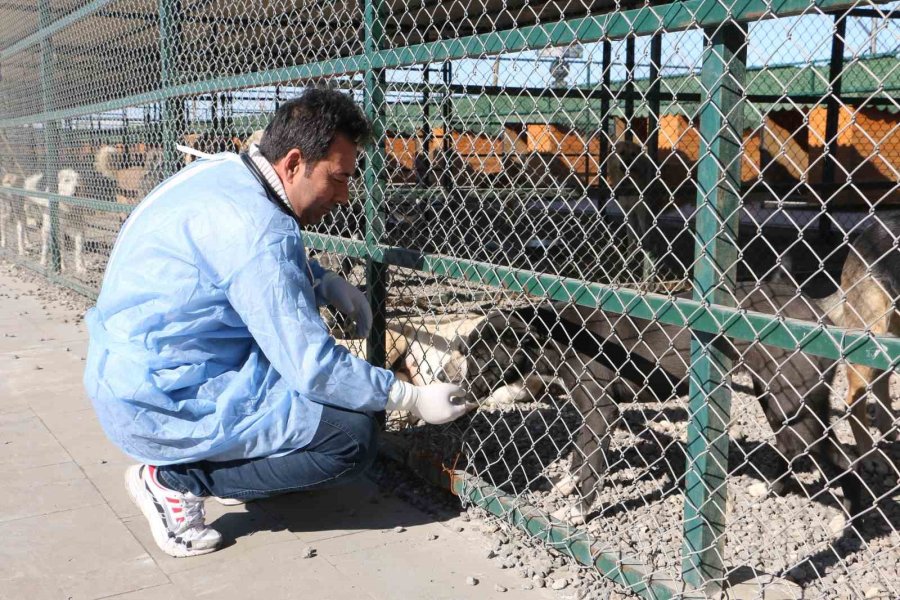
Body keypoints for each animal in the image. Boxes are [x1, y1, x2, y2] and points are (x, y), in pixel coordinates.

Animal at [442, 284, 864, 524]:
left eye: (483, 356)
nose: (460, 392)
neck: (557, 333)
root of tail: (820, 316)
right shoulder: (589, 411)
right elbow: (580, 453)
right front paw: (566, 483)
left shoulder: (602, 410)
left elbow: (591, 464)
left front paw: (578, 511)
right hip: (777, 400)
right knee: (794, 446)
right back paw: (772, 489)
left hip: (792, 401)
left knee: (843, 457)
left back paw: (850, 521)